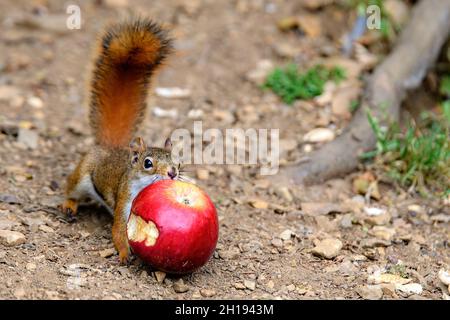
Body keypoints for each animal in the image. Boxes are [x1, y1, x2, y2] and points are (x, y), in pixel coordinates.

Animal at [60, 18, 179, 262]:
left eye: (176, 160)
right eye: (148, 163)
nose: (172, 173)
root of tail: (110, 146)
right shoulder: (124, 202)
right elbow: (118, 231)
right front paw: (125, 253)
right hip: (81, 176)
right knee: (70, 187)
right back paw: (69, 204)